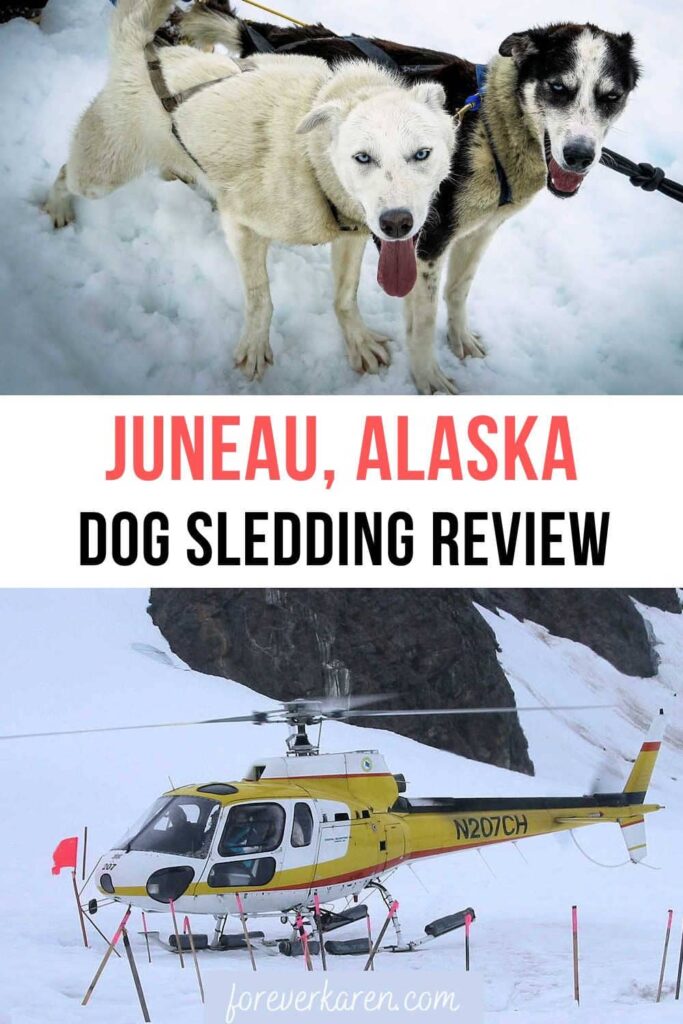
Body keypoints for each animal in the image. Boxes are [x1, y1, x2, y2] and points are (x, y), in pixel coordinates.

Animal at [44, 0, 454, 382]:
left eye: (422, 154)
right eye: (363, 157)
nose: (397, 223)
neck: (312, 159)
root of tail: (144, 52)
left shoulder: (351, 236)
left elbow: (344, 295)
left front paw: (357, 340)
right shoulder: (243, 226)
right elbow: (261, 298)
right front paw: (256, 346)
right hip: (99, 176)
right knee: (65, 174)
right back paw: (57, 206)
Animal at [181, 4, 643, 391]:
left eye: (611, 96)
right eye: (558, 87)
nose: (580, 155)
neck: (489, 127)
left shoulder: (480, 231)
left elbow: (459, 290)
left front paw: (460, 339)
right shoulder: (429, 243)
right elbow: (423, 321)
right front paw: (429, 379)